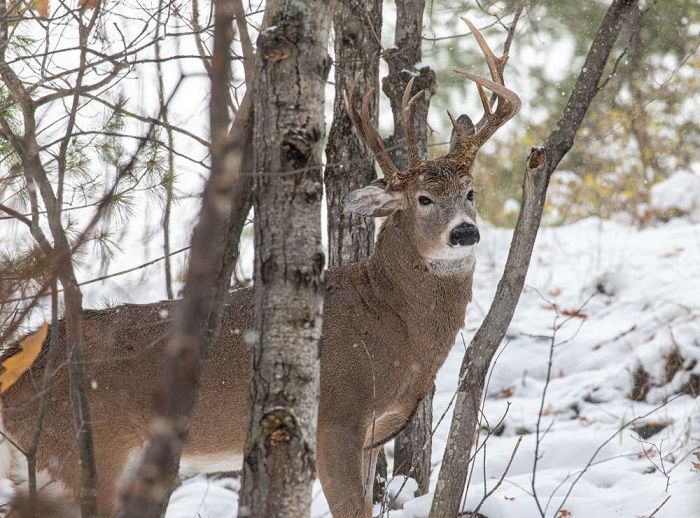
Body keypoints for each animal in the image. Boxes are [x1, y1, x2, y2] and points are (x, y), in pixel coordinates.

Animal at [0, 20, 516, 518]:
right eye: (423, 199)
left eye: (470, 192)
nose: (465, 232)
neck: (389, 322)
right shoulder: (335, 420)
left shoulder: (373, 435)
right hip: (84, 452)